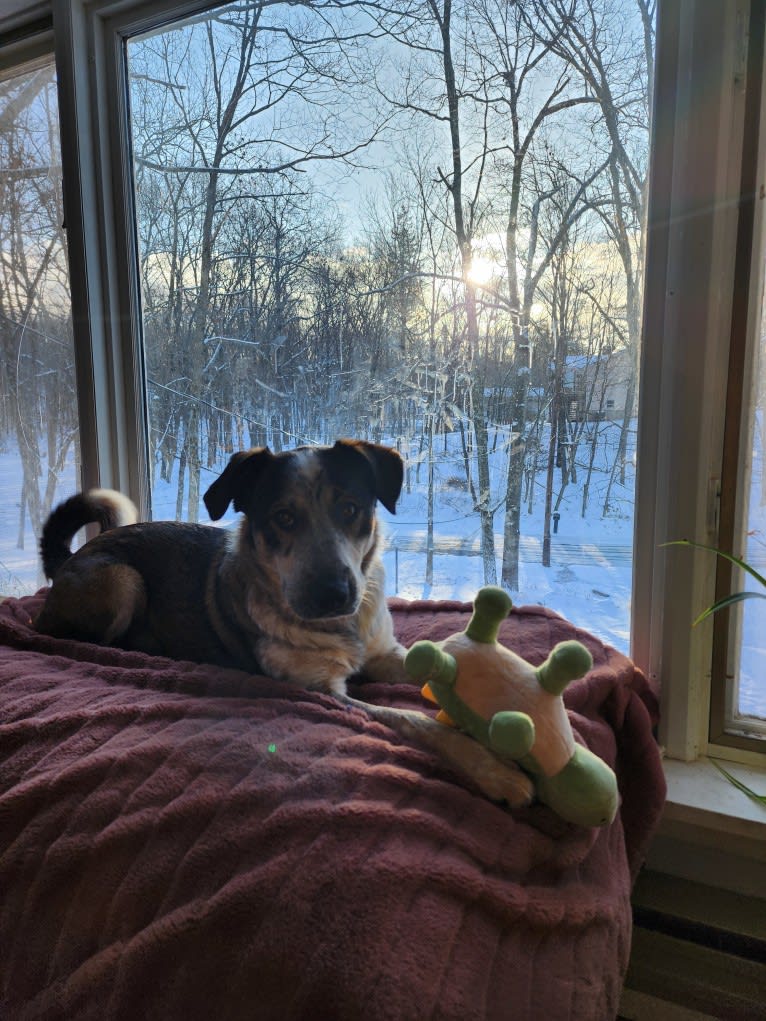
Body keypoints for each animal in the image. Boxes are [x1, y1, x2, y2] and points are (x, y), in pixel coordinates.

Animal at [34, 439, 408, 694]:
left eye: (349, 509)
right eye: (283, 517)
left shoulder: (387, 651)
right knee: (81, 638)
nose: (334, 595)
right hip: (123, 580)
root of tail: (71, 557)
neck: (343, 628)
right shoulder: (320, 687)